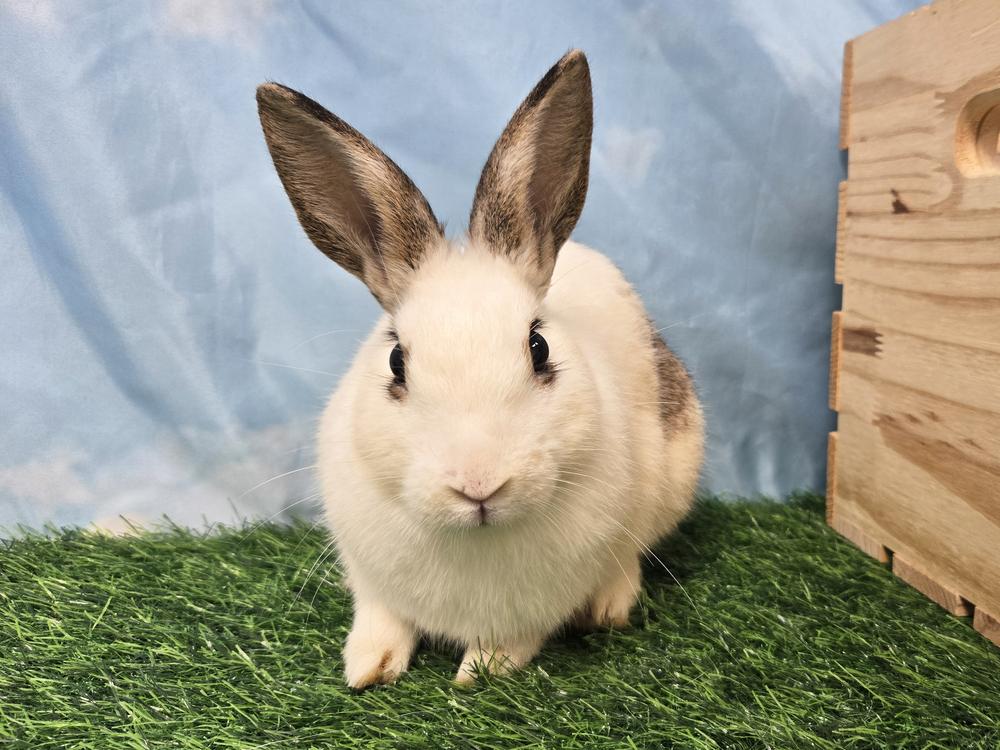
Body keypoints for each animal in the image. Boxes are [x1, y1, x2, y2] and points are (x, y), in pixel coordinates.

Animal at [256, 49, 704, 688]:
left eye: (538, 347)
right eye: (395, 361)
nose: (478, 484)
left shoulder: (538, 606)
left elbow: (513, 641)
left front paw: (477, 673)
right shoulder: (371, 578)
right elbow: (381, 617)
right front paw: (367, 668)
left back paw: (609, 607)